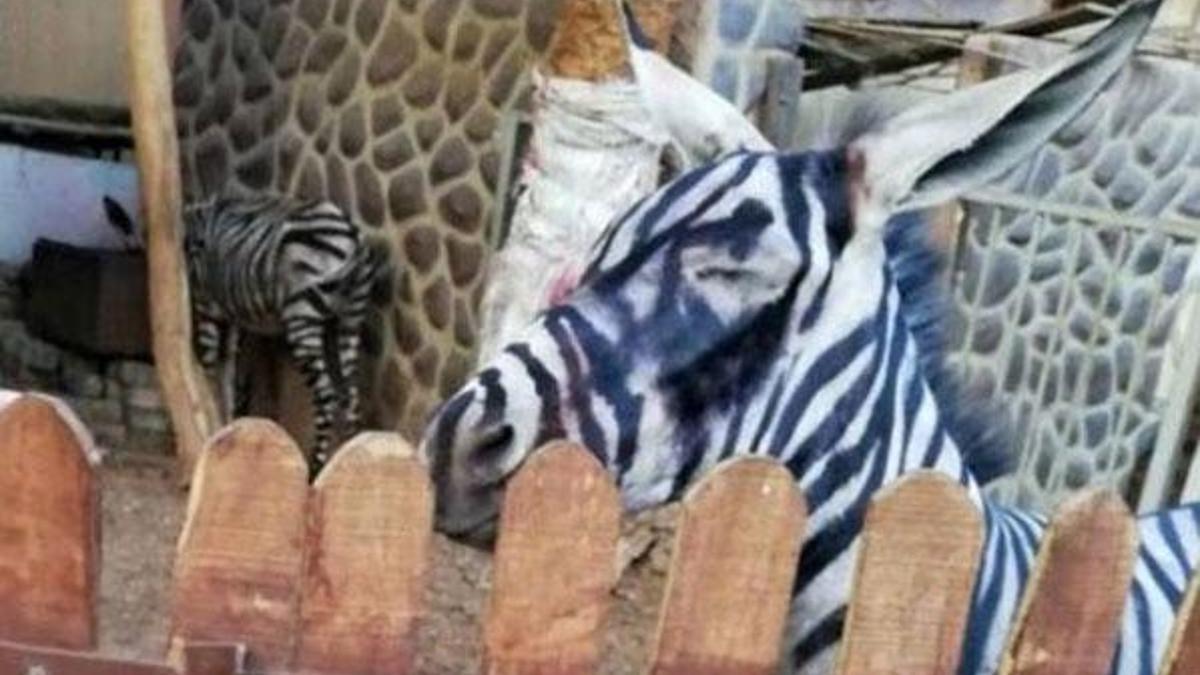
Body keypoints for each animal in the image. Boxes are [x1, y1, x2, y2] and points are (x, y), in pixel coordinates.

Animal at [183, 194, 381, 473]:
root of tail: (353, 237)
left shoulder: (207, 303)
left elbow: (210, 366)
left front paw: (212, 426)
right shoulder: (234, 317)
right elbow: (229, 372)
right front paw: (228, 424)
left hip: (302, 318)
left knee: (327, 395)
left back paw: (316, 465)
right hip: (350, 320)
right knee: (352, 396)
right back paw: (352, 457)